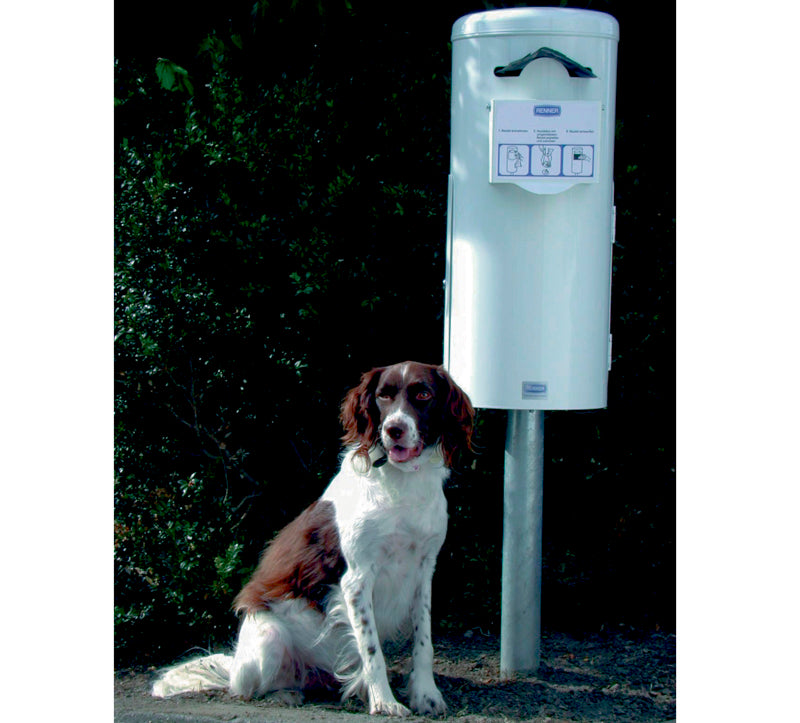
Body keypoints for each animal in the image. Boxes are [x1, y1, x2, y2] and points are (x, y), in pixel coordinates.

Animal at [153, 362, 472, 720]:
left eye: (423, 394)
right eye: (383, 396)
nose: (394, 429)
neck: (402, 483)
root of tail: (233, 664)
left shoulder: (423, 572)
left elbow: (423, 642)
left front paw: (425, 695)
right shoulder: (357, 578)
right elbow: (371, 649)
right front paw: (384, 701)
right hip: (270, 637)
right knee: (248, 689)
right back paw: (285, 694)